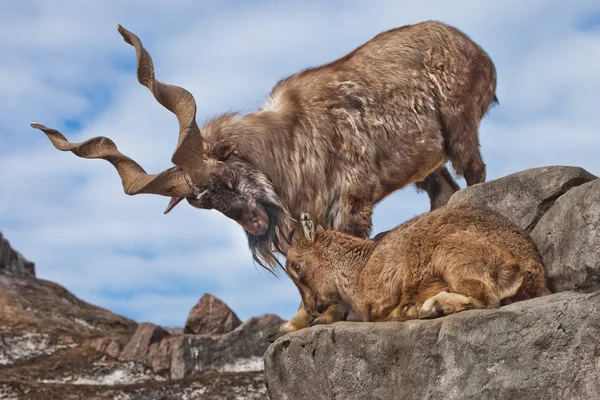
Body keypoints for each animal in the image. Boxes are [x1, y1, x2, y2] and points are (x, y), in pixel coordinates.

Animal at [32, 19, 500, 338]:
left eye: (226, 176)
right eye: (202, 201)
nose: (256, 225)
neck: (292, 136)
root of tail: (479, 52)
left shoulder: (350, 201)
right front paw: (293, 325)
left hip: (460, 129)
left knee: (475, 173)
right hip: (430, 166)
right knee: (444, 191)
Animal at [288, 205, 552, 324]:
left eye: (297, 267)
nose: (312, 309)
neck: (359, 270)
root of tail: (528, 267)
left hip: (454, 258)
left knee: (487, 297)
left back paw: (433, 306)